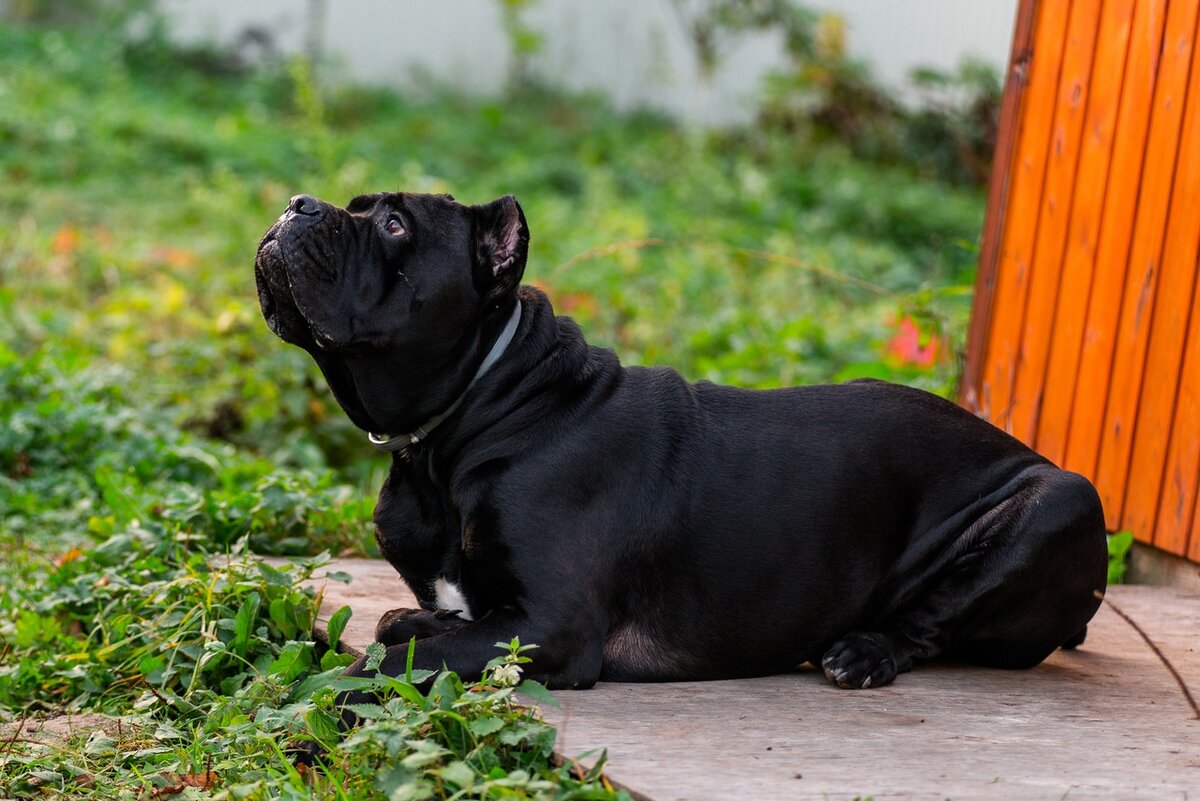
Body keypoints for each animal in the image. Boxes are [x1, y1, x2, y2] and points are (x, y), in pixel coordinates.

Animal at [253, 190, 1104, 695]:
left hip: (1060, 498)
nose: (297, 204)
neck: (467, 422)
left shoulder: (551, 625)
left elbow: (400, 657)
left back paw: (862, 652)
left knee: (930, 621)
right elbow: (402, 626)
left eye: (394, 224)